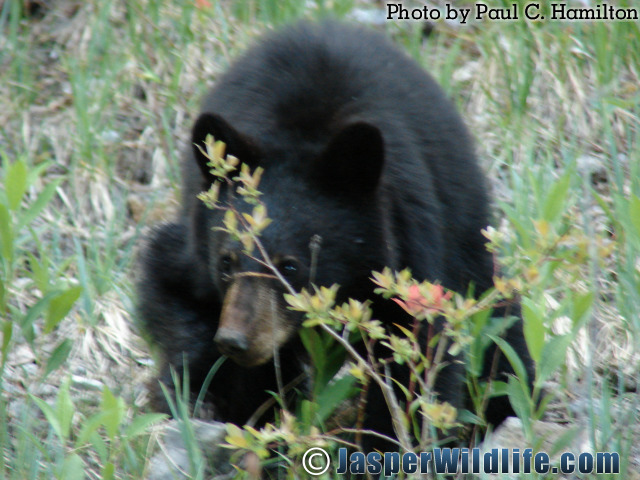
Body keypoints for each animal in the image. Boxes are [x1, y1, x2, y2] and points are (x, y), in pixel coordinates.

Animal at [138, 18, 532, 454]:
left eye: (291, 266)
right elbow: (172, 291)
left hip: (464, 226)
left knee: (497, 324)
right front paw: (204, 399)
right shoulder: (196, 253)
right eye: (226, 262)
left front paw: (391, 442)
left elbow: (412, 352)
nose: (235, 340)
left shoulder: (405, 251)